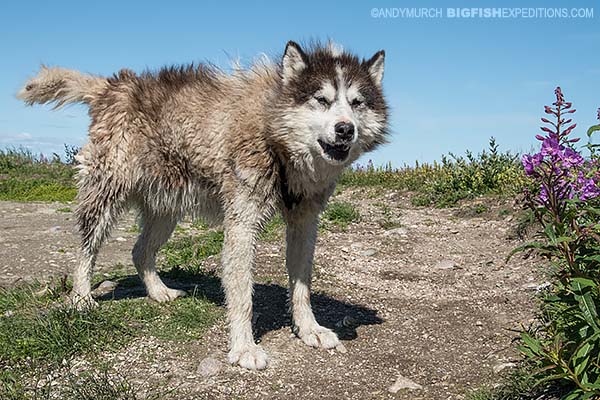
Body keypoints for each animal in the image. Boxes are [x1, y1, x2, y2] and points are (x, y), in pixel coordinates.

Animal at [18, 40, 390, 368]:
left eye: (357, 102)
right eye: (321, 100)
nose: (345, 129)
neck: (274, 136)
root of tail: (113, 85)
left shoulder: (305, 221)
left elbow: (301, 286)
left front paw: (309, 329)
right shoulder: (241, 223)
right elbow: (242, 294)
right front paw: (244, 348)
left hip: (165, 211)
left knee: (139, 251)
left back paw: (159, 292)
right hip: (106, 195)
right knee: (86, 250)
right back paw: (81, 298)